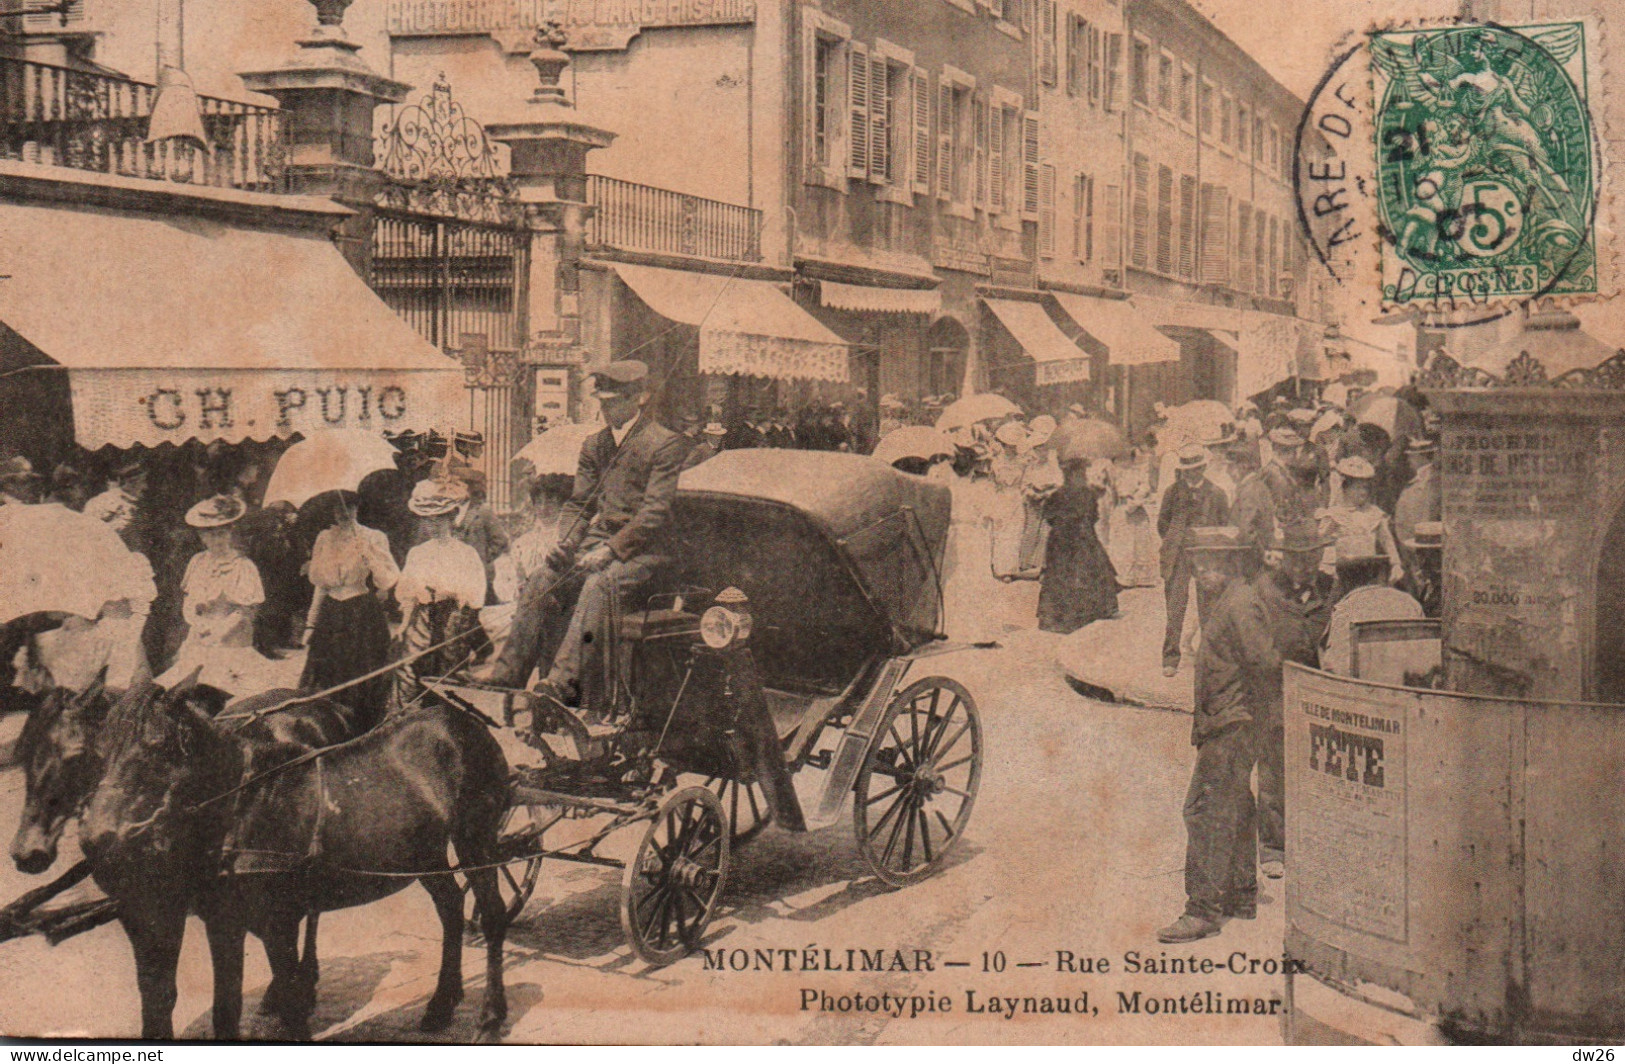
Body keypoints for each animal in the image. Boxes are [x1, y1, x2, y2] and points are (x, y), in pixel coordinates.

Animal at [82, 682, 510, 1039]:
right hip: (423, 851)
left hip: (476, 838)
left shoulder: (279, 921)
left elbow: (289, 1003)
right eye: (98, 753)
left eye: (156, 750)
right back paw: (441, 1007)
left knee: (492, 914)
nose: (96, 840)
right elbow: (226, 1009)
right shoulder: (224, 922)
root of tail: (462, 722)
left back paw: (491, 1015)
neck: (244, 805)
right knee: (450, 906)